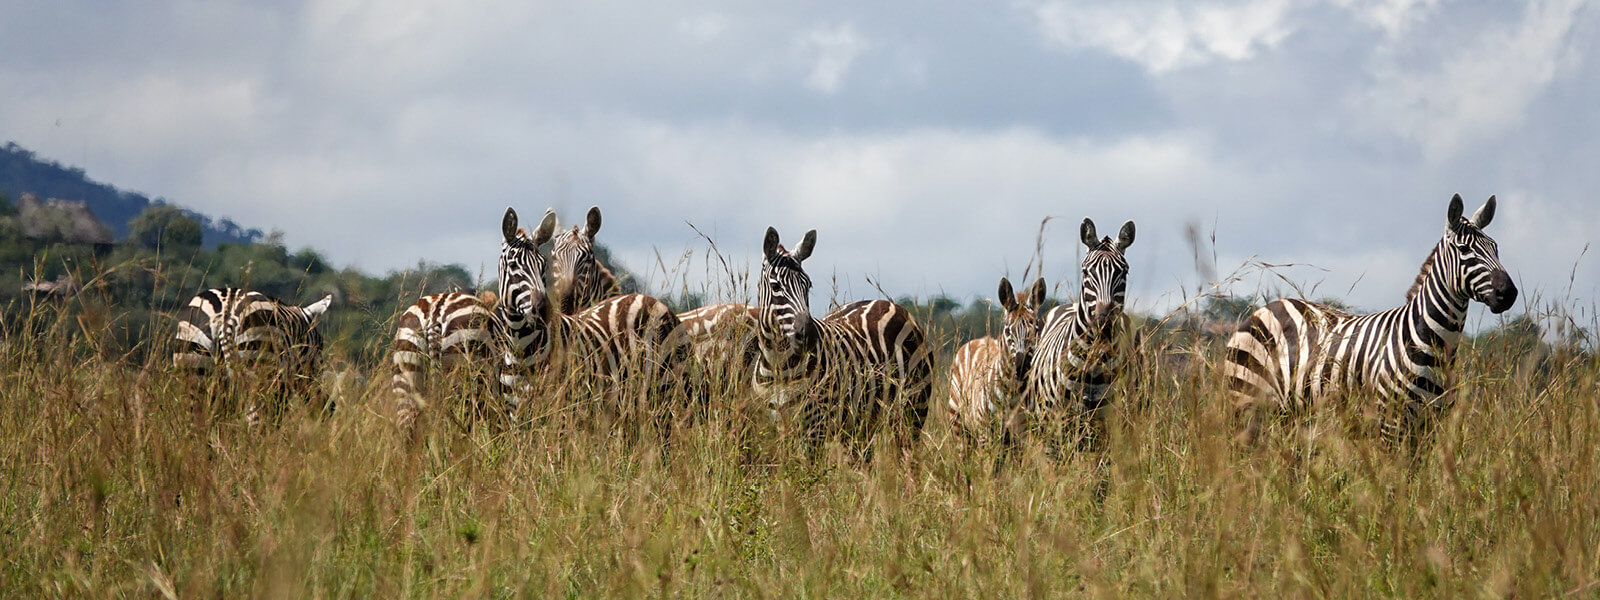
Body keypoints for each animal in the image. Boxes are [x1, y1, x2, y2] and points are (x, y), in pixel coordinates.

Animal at [173, 287, 334, 422]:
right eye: (321, 345)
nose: (329, 408)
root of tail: (226, 316)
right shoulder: (279, 390)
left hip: (195, 373)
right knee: (255, 421)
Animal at [754, 227, 934, 444]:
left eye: (808, 286)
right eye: (776, 287)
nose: (809, 336)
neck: (778, 363)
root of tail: (888, 303)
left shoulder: (814, 427)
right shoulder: (774, 428)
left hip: (914, 407)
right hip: (861, 425)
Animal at [945, 277, 1046, 440]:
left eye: (1036, 329)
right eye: (1007, 330)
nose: (1021, 366)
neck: (1013, 392)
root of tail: (976, 340)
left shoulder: (1025, 433)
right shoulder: (985, 431)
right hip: (958, 422)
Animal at [1023, 218, 1137, 447]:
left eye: (1124, 272)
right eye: (1085, 271)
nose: (1103, 320)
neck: (1094, 364)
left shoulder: (1111, 424)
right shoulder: (1057, 423)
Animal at [1223, 194, 1517, 445]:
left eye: (1495, 248)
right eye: (1464, 250)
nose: (1509, 293)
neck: (1431, 341)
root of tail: (1268, 307)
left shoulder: (1430, 425)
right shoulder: (1390, 422)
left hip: (1289, 415)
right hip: (1245, 400)